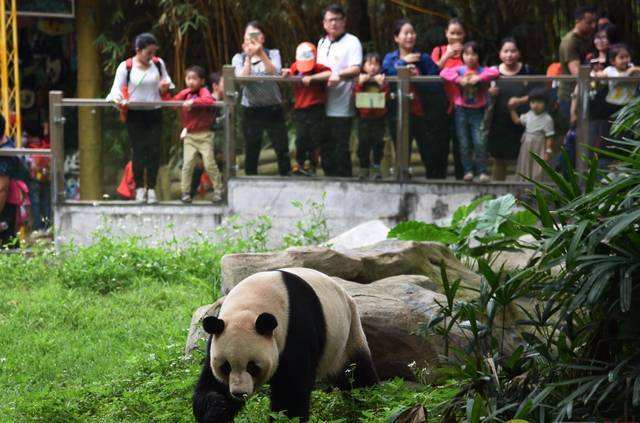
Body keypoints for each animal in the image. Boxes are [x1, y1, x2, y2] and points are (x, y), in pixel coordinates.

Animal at [192, 270, 378, 422]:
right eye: (226, 367)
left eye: (252, 367)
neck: (247, 307)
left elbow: (291, 388)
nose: (239, 393)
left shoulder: (294, 327)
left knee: (356, 374)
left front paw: (285, 417)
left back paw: (368, 402)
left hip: (347, 334)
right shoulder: (217, 335)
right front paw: (217, 407)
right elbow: (210, 383)